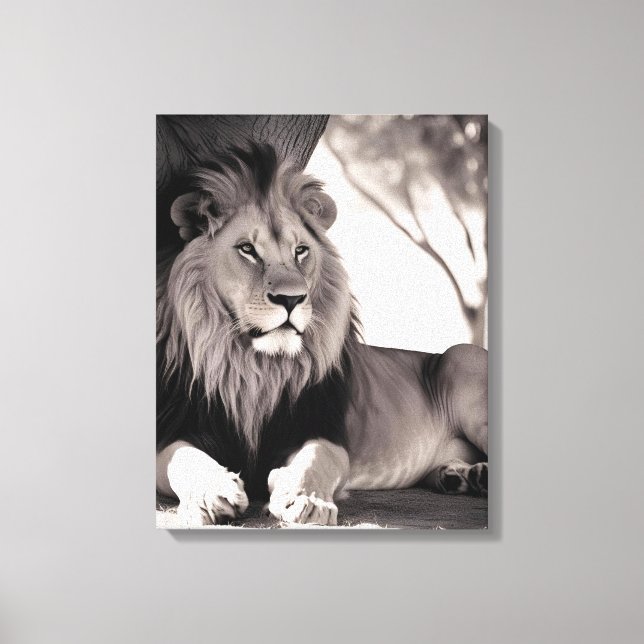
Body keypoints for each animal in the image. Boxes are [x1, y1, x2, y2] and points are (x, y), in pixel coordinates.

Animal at [156, 143, 488, 527]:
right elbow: (186, 460)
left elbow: (315, 460)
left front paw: (306, 500)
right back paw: (462, 476)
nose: (291, 299)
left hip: (461, 357)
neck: (256, 368)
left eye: (300, 251)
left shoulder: (321, 428)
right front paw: (214, 494)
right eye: (247, 250)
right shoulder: (172, 430)